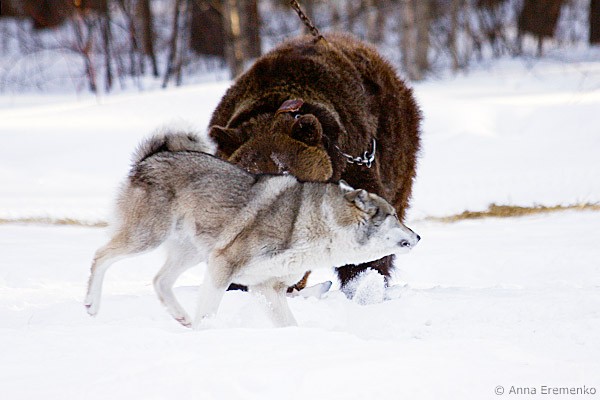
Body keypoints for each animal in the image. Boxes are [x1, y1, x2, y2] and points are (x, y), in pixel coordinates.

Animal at [84, 132, 420, 328]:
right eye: (394, 216)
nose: (418, 236)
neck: (314, 224)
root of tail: (151, 157)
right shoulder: (224, 266)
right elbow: (208, 312)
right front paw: (203, 335)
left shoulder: (266, 288)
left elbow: (289, 325)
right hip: (149, 238)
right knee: (100, 255)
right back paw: (91, 304)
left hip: (192, 252)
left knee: (160, 281)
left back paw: (181, 317)